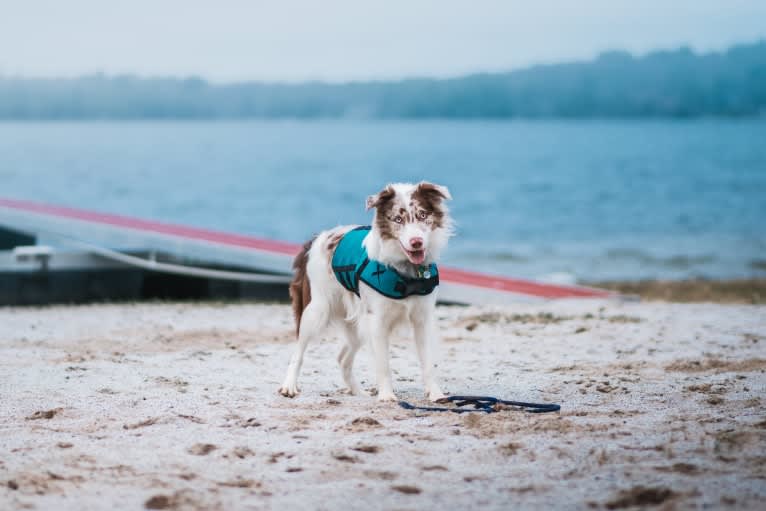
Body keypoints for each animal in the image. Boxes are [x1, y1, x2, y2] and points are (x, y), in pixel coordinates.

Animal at [280, 182, 452, 402]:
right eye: (398, 219)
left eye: (422, 215)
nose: (417, 242)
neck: (405, 272)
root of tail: (318, 238)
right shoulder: (377, 320)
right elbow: (383, 363)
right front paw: (387, 395)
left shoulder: (422, 318)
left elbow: (428, 361)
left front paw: (436, 394)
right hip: (316, 310)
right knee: (298, 352)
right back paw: (289, 386)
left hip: (357, 322)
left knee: (342, 358)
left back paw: (357, 391)